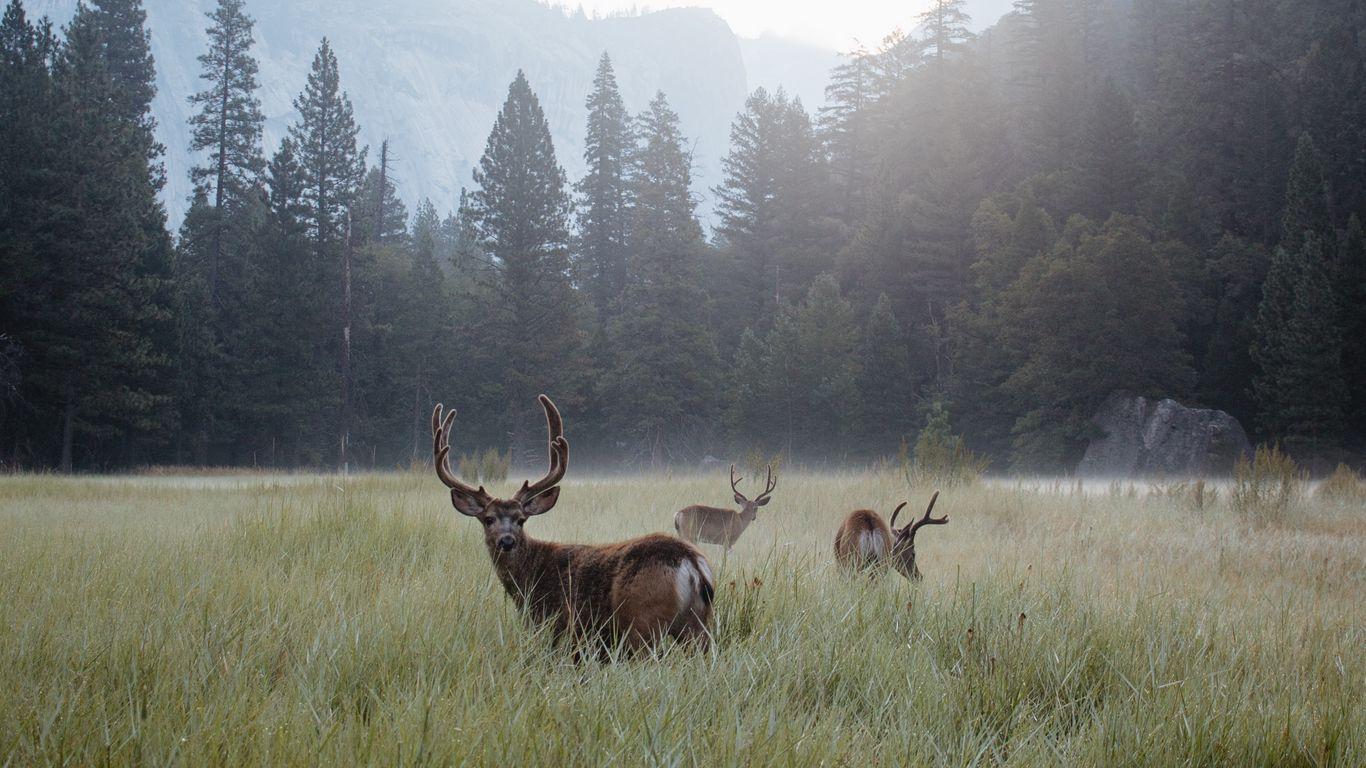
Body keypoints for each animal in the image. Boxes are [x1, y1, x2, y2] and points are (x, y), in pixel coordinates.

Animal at [432, 395, 714, 659]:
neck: (529, 578)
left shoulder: (556, 626)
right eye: (489, 519)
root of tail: (691, 563)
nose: (507, 541)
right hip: (697, 626)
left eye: (521, 519)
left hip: (643, 620)